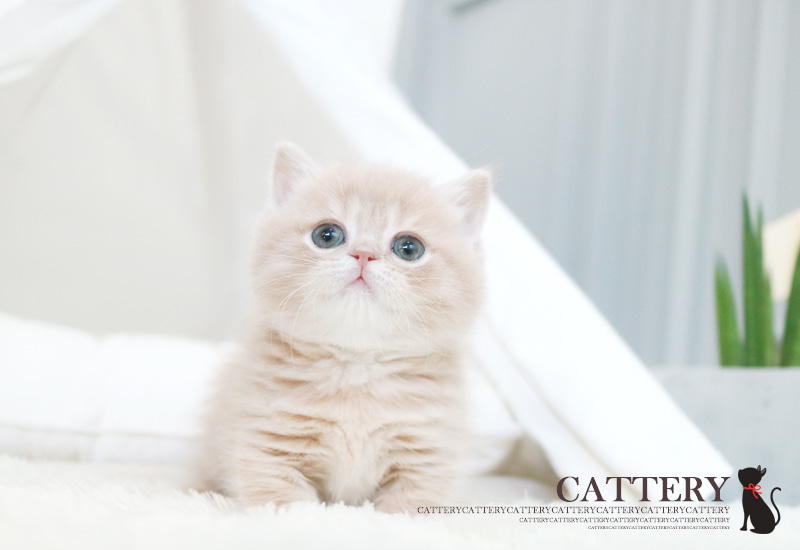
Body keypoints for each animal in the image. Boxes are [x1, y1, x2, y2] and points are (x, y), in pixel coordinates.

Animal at [198, 143, 491, 514]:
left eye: (409, 248)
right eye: (327, 235)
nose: (364, 254)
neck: (357, 368)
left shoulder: (428, 457)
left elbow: (408, 509)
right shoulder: (265, 447)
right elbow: (285, 503)